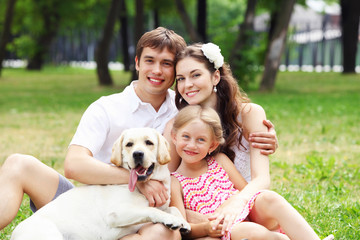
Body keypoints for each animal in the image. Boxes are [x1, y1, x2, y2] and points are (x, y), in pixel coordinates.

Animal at [11, 127, 191, 240]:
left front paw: (183, 223)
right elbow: (150, 210)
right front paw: (172, 220)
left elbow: (173, 208)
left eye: (149, 142)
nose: (137, 154)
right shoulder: (116, 213)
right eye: (129, 144)